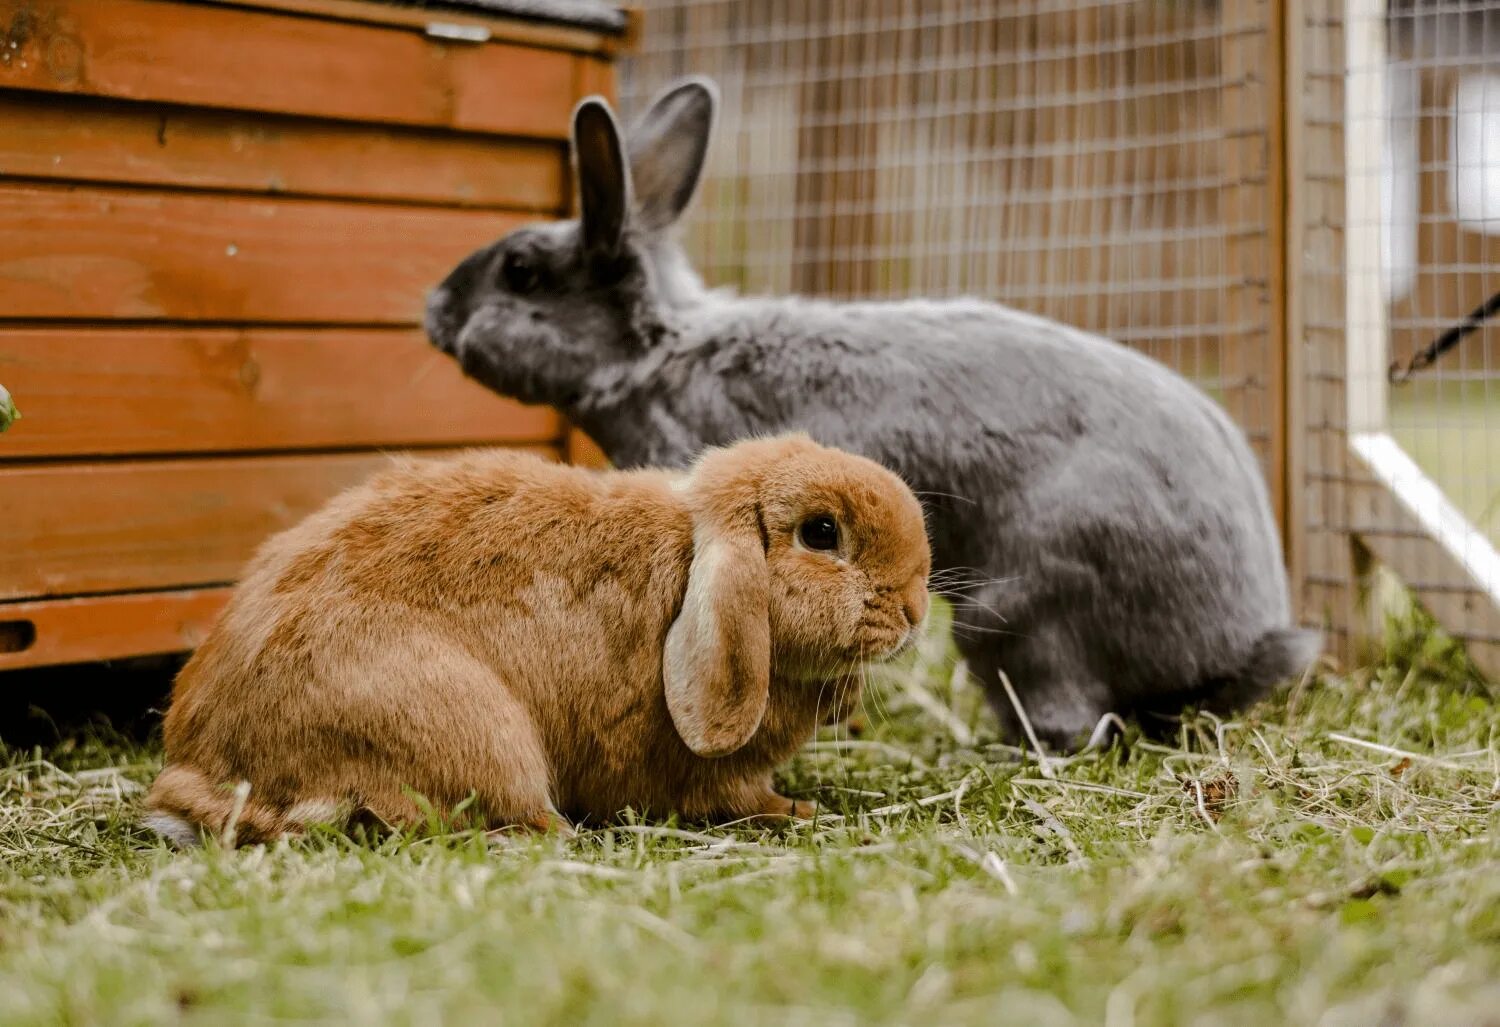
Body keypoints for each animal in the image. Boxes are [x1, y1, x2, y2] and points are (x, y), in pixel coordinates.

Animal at [146, 431, 930, 839]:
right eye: (821, 532)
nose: (918, 607)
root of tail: (212, 768)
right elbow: (739, 796)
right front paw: (800, 809)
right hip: (472, 727)